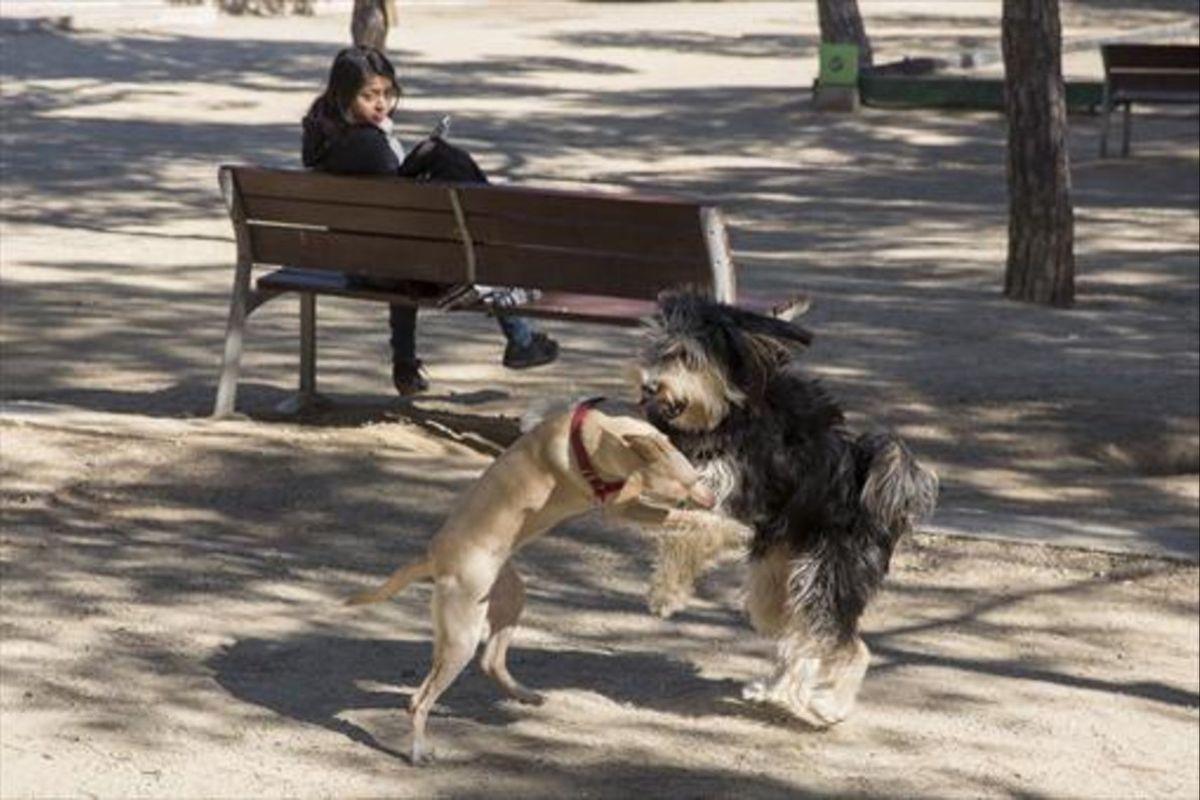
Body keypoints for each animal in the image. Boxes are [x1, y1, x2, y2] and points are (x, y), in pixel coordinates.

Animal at [348, 400, 710, 762]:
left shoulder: (625, 500)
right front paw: (710, 521)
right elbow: (676, 515)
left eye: (695, 477)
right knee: (422, 700)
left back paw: (527, 695)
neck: (589, 438)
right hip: (461, 637)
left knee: (487, 663)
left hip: (510, 598)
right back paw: (419, 750)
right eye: (685, 487)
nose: (710, 497)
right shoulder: (620, 506)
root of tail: (434, 557)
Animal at [638, 292, 936, 724]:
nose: (648, 386)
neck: (727, 418)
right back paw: (778, 689)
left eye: (686, 356)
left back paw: (829, 705)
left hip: (827, 577)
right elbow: (674, 526)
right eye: (658, 350)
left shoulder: (730, 507)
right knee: (800, 637)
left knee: (847, 645)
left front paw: (666, 593)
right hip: (778, 584)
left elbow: (689, 530)